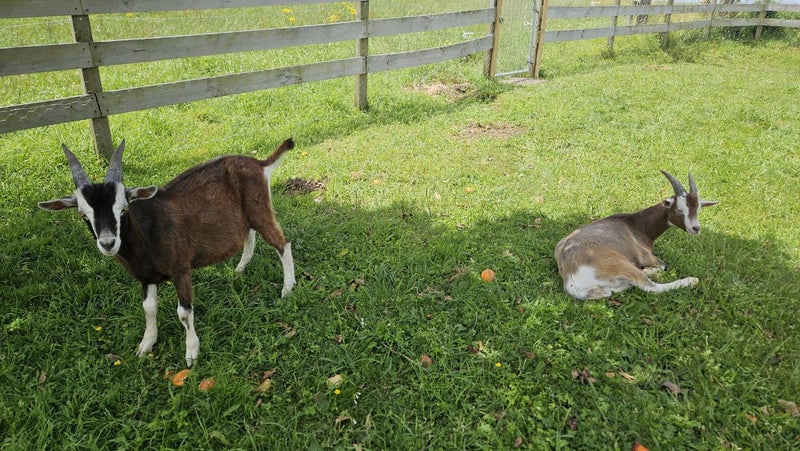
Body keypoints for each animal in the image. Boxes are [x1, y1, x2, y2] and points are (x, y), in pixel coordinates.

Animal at [39, 139, 296, 366]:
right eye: (83, 214)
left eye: (124, 208)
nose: (108, 243)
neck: (147, 236)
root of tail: (259, 164)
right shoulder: (146, 277)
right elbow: (148, 308)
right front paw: (146, 345)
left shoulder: (181, 269)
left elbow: (183, 312)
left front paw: (191, 353)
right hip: (246, 217)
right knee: (249, 234)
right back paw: (240, 269)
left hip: (260, 209)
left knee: (282, 244)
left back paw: (287, 289)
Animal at [554, 171, 718, 300]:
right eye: (679, 209)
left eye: (698, 209)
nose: (695, 228)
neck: (636, 224)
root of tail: (570, 278)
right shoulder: (646, 256)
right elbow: (662, 265)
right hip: (623, 266)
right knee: (651, 287)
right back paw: (691, 280)